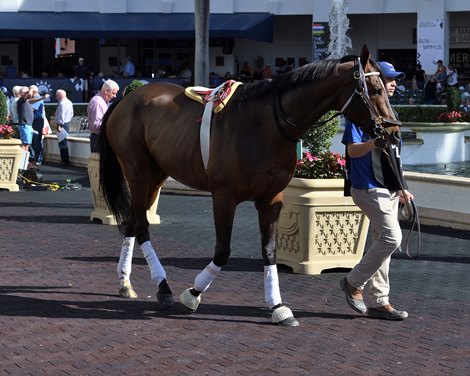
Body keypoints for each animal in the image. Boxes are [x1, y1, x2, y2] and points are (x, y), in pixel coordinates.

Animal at [99, 44, 400, 326]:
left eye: (387, 89)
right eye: (375, 89)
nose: (394, 132)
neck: (267, 125)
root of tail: (127, 98)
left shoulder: (271, 199)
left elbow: (269, 251)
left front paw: (278, 306)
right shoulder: (223, 196)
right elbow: (222, 251)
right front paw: (192, 294)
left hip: (157, 174)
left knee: (133, 222)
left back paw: (125, 283)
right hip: (137, 170)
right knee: (142, 225)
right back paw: (163, 287)